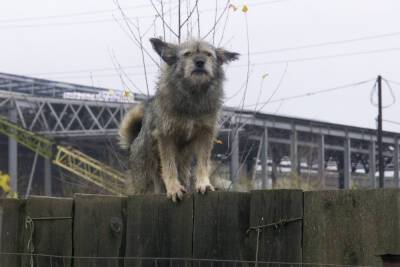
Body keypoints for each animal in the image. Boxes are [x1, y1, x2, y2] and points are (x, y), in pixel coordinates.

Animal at [118, 37, 238, 201]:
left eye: (208, 54)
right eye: (187, 54)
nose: (200, 62)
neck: (193, 96)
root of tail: (132, 144)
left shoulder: (205, 134)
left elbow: (203, 163)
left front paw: (204, 184)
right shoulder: (166, 136)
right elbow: (169, 166)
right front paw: (174, 188)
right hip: (145, 179)